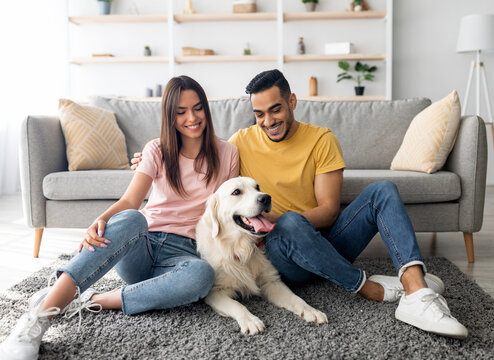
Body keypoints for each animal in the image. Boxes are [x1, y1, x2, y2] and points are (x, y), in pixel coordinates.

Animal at [196, 176, 328, 334]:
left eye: (257, 187)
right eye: (236, 192)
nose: (265, 198)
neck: (243, 248)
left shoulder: (271, 281)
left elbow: (296, 299)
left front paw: (311, 311)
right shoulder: (215, 292)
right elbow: (237, 305)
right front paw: (251, 321)